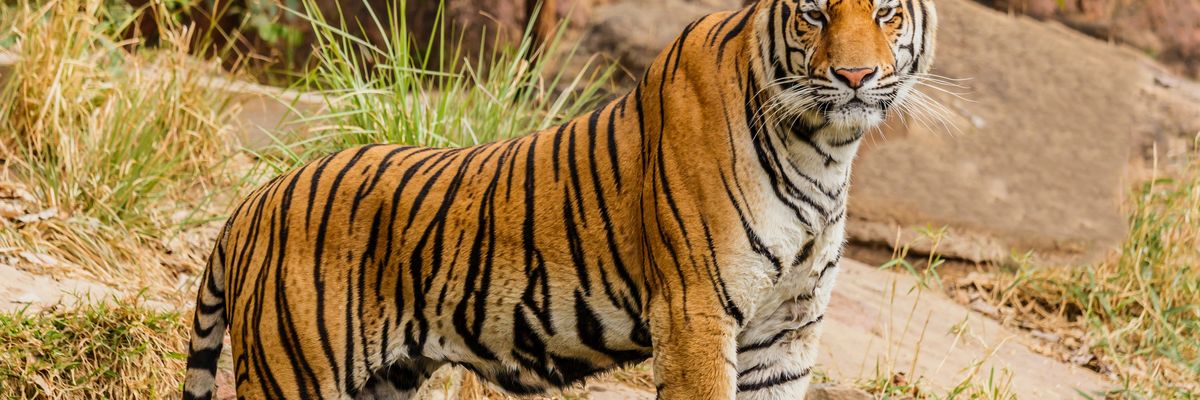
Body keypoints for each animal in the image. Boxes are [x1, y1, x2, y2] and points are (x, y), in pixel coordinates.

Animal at [183, 0, 937, 398]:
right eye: (812, 13)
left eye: (887, 12)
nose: (855, 76)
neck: (824, 149)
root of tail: (252, 204)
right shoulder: (695, 311)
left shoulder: (788, 329)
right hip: (293, 374)